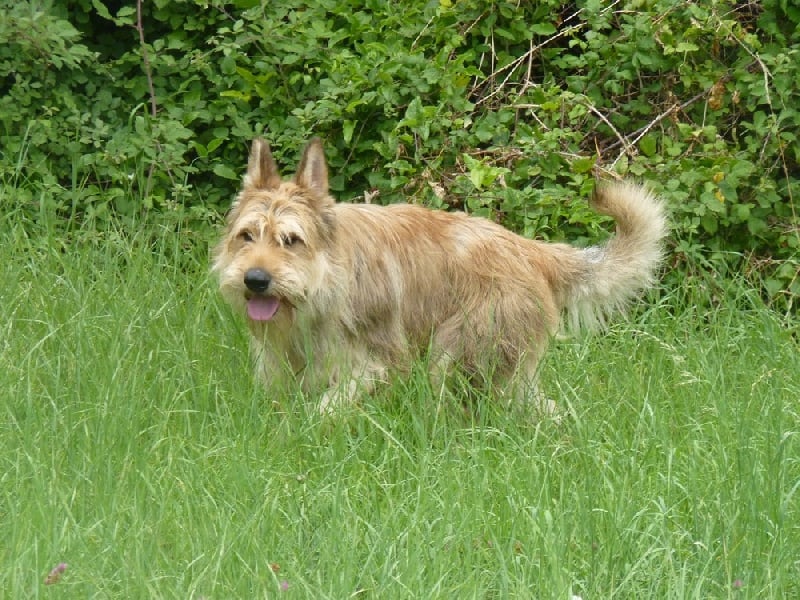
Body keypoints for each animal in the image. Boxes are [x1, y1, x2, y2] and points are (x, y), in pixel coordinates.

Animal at [213, 138, 667, 414]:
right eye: (247, 235)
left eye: (291, 240)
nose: (255, 280)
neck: (325, 285)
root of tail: (532, 249)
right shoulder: (282, 364)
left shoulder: (375, 364)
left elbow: (323, 411)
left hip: (455, 357)